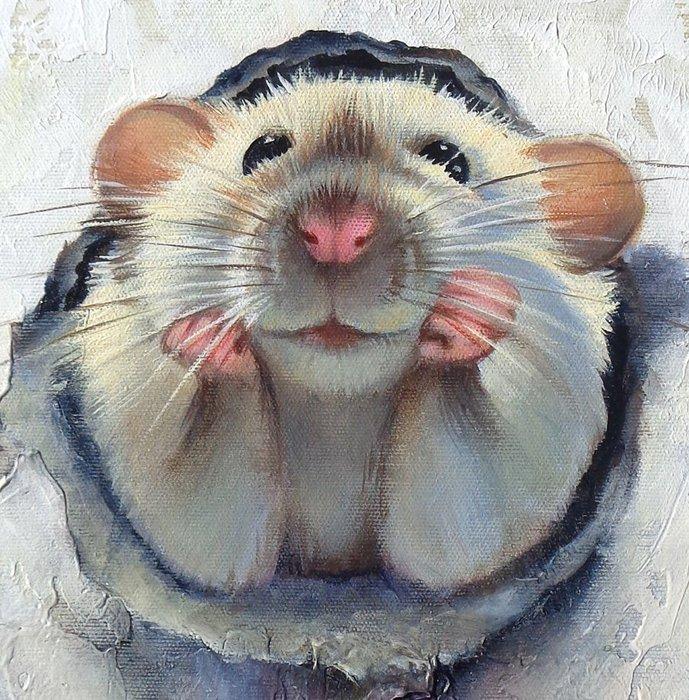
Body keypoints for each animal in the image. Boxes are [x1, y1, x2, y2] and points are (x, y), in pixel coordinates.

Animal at [9, 31, 643, 595]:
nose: (336, 234)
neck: (334, 402)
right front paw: (207, 336)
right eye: (261, 151)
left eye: (450, 160)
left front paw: (474, 310)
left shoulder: (532, 435)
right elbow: (207, 536)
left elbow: (450, 539)